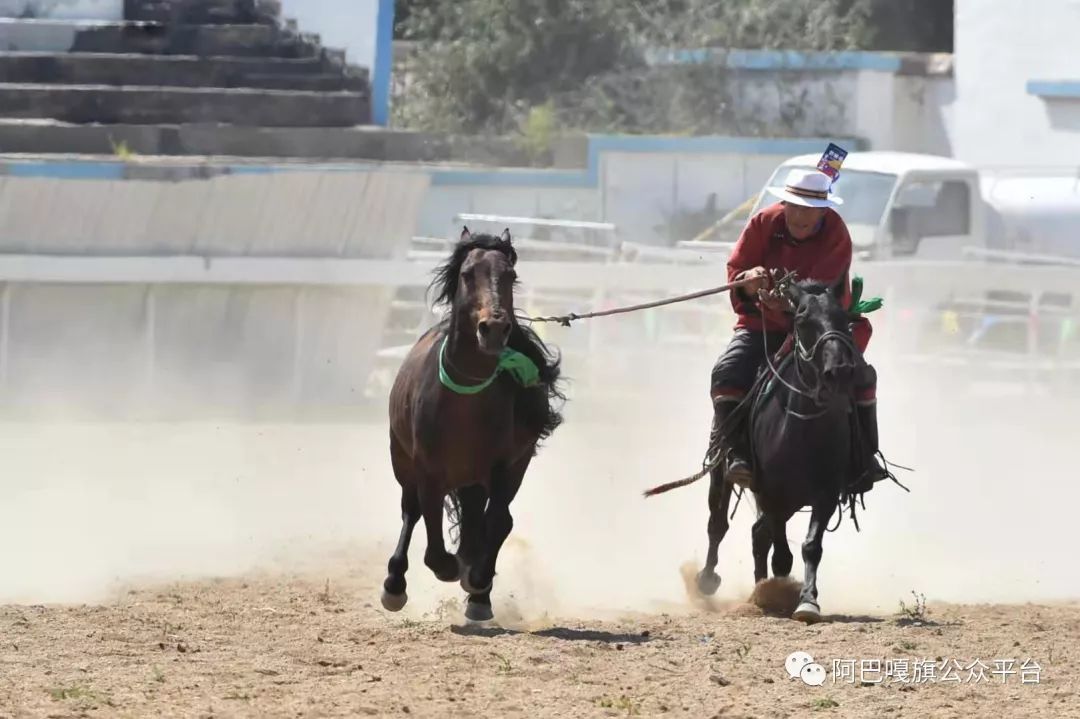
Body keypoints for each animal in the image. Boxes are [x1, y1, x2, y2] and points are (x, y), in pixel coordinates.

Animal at [380, 227, 565, 621]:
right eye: (467, 274)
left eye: (510, 275)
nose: (493, 328)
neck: (464, 400)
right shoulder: (427, 468)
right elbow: (431, 533)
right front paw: (451, 567)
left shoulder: (504, 465)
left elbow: (494, 521)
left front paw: (477, 584)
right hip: (402, 458)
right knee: (411, 511)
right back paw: (395, 584)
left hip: (487, 474)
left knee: (490, 519)